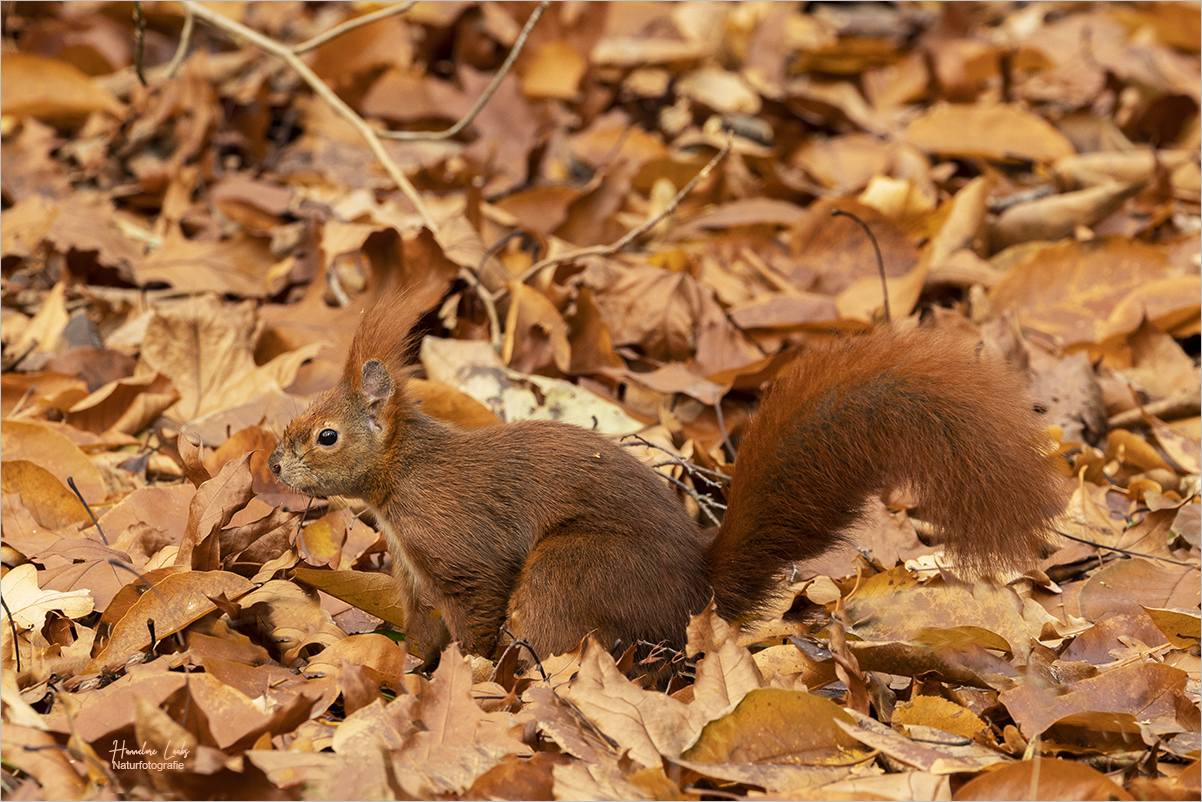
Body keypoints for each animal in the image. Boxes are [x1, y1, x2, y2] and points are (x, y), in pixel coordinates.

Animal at [270, 292, 1062, 663]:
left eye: (326, 435)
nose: (274, 463)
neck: (400, 477)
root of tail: (696, 595)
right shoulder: (414, 573)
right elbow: (422, 628)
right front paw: (412, 672)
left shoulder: (461, 546)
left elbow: (477, 613)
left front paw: (470, 674)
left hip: (571, 573)